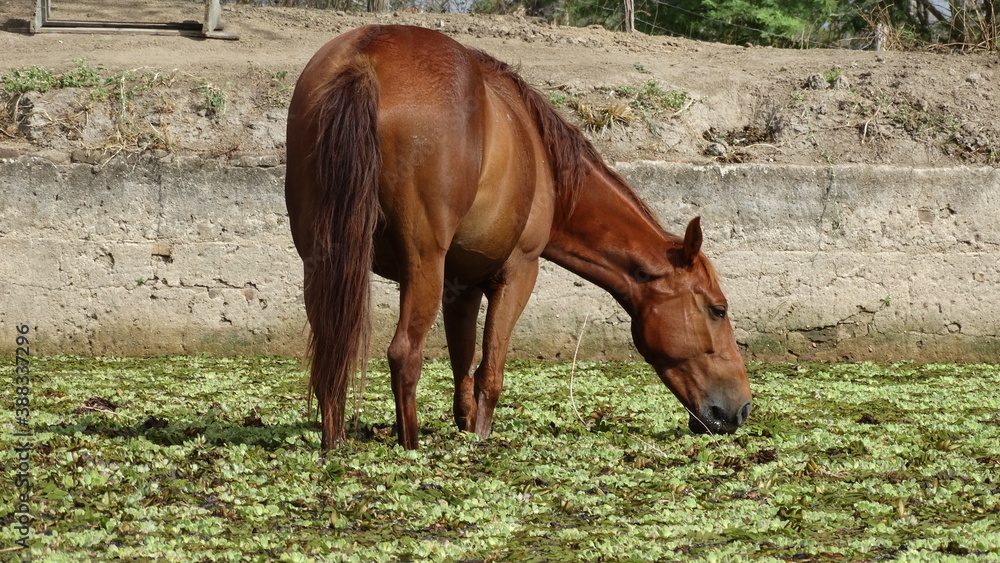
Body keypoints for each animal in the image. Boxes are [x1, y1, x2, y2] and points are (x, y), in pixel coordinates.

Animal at [284, 25, 752, 450]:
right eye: (718, 310)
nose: (742, 408)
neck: (544, 164)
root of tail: (366, 56)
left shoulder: (462, 286)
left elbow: (462, 366)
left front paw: (465, 427)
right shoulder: (517, 273)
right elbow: (489, 374)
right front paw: (480, 439)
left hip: (321, 264)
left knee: (331, 354)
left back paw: (334, 443)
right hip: (422, 265)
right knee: (404, 354)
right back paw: (409, 445)